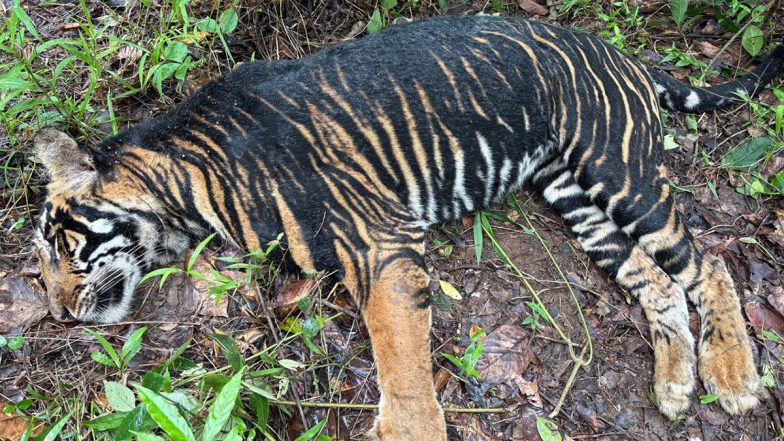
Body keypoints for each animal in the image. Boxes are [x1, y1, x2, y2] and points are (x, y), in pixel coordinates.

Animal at [32, 15, 784, 440]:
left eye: (56, 244)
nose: (58, 312)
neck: (188, 185)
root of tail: (616, 51)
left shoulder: (384, 243)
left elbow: (399, 353)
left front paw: (409, 427)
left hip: (617, 169)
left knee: (709, 262)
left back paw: (733, 378)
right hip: (573, 195)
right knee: (657, 280)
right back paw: (676, 385)